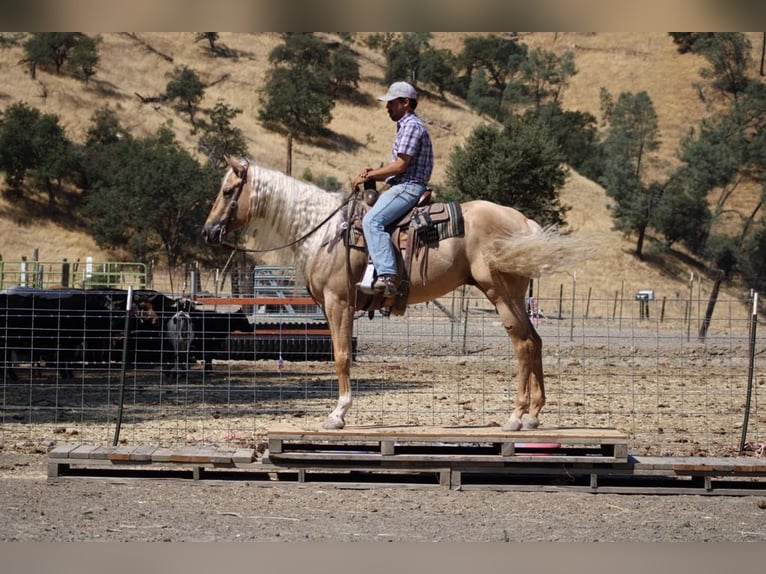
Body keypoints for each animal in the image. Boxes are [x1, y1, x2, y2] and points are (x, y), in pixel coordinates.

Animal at [201, 156, 584, 432]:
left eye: (227, 191)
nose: (207, 232)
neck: (325, 232)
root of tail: (523, 223)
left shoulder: (339, 301)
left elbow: (342, 356)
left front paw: (338, 414)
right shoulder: (330, 306)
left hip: (499, 293)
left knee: (522, 344)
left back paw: (516, 417)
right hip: (516, 295)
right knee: (535, 342)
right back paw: (533, 415)